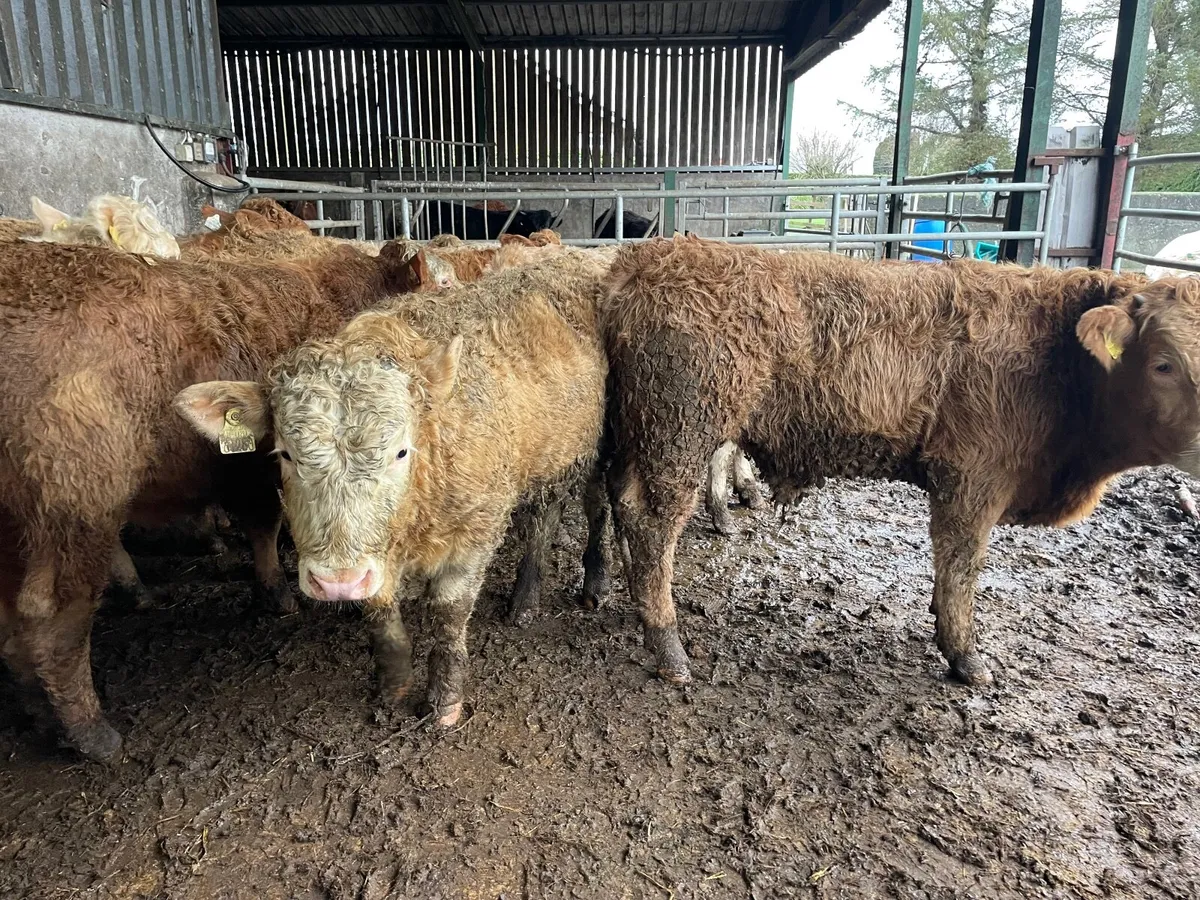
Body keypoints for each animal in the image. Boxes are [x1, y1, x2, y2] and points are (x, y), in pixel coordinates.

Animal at [0, 240, 423, 761]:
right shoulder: (259, 466)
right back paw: (92, 733)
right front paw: (277, 593)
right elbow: (265, 525)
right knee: (53, 616)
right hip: (75, 509)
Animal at [175, 249, 610, 729]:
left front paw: (445, 700)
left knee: (549, 518)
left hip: (567, 456)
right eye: (286, 453)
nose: (336, 582)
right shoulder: (374, 556)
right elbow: (382, 616)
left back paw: (528, 596)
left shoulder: (475, 530)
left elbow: (450, 611)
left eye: (401, 451)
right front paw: (393, 688)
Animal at [600, 235, 1200, 687]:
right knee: (653, 525)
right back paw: (668, 645)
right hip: (680, 433)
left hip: (641, 434)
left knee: (620, 499)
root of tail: (645, 260)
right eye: (1164, 363)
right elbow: (961, 568)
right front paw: (966, 657)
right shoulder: (970, 479)